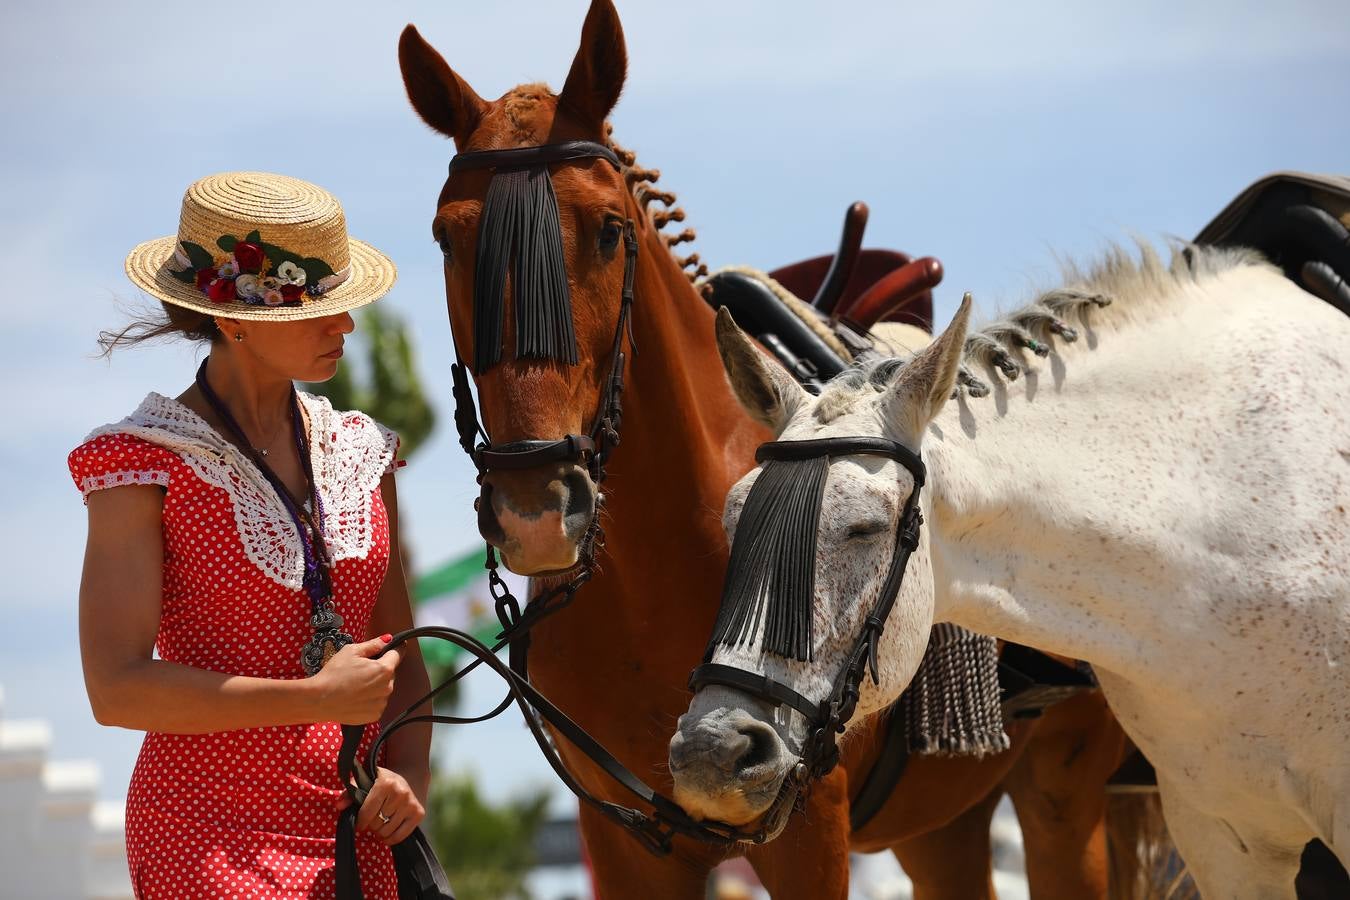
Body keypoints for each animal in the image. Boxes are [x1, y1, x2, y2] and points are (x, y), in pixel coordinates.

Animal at [396, 3, 1128, 895]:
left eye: (608, 231)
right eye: (447, 239)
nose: (536, 507)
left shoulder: (806, 826)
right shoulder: (620, 839)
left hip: (1065, 791)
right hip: (945, 825)